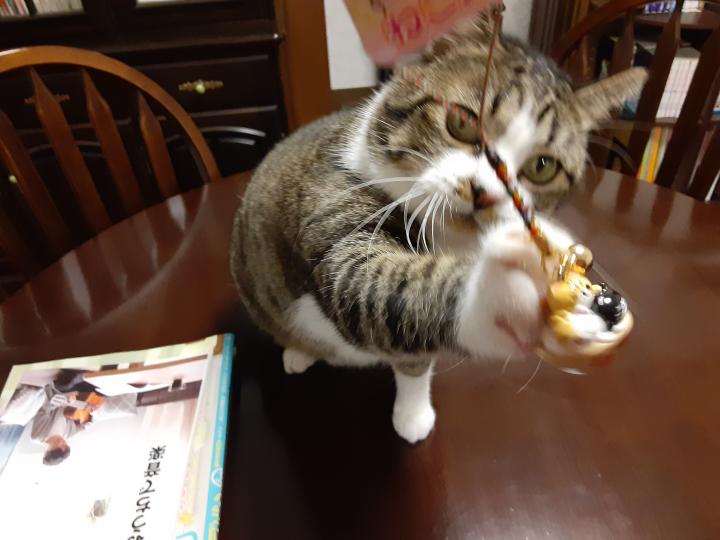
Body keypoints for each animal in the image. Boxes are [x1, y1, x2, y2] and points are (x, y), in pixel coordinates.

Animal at [230, 16, 646, 443]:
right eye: (462, 122)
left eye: (542, 166)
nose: (485, 193)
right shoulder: (333, 201)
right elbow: (369, 283)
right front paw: (503, 294)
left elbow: (414, 354)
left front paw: (412, 410)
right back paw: (298, 351)